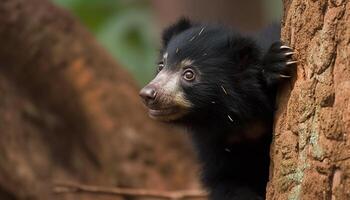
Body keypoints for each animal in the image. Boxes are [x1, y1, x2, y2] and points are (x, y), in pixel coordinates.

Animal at [139, 18, 296, 200]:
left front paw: (277, 61)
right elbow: (225, 180)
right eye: (161, 66)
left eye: (189, 74)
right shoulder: (214, 143)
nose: (148, 94)